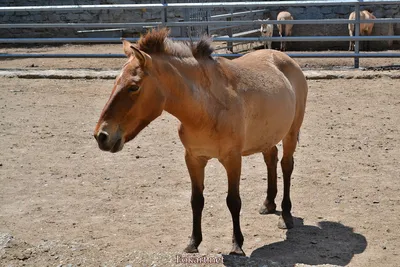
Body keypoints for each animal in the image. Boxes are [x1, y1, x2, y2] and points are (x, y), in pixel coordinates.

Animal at [94, 28, 310, 256]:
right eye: (115, 81)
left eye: (134, 87)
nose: (102, 136)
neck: (207, 107)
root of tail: (285, 59)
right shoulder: (194, 158)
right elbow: (196, 200)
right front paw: (193, 242)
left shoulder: (232, 159)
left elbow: (233, 201)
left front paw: (237, 244)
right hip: (267, 137)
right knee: (271, 159)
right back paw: (268, 204)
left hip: (290, 133)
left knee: (286, 166)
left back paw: (286, 215)